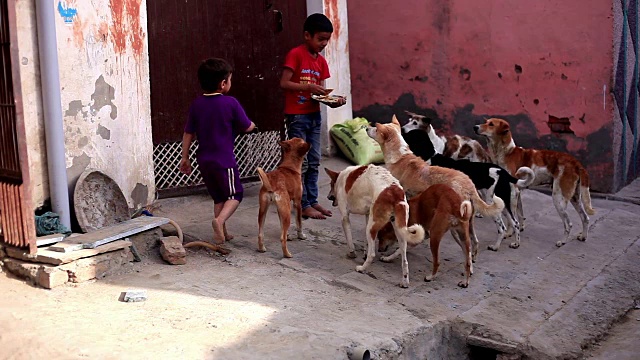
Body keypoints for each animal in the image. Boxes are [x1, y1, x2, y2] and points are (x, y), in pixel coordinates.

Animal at [370, 115, 504, 258]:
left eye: (376, 129)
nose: (366, 128)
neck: (400, 156)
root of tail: (469, 185)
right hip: (469, 222)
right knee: (475, 242)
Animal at [400, 124, 536, 250]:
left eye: (410, 135)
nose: (400, 131)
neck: (430, 157)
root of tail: (503, 172)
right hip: (504, 204)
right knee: (515, 223)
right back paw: (516, 243)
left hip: (491, 202)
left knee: (502, 227)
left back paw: (495, 246)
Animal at [476, 118, 596, 248]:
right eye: (486, 121)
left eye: (491, 124)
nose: (475, 127)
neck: (506, 152)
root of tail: (576, 163)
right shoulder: (517, 193)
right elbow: (519, 215)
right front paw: (518, 230)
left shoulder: (513, 192)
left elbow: (511, 218)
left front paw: (509, 234)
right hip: (575, 198)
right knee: (585, 218)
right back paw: (583, 236)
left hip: (558, 199)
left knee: (568, 223)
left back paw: (562, 241)